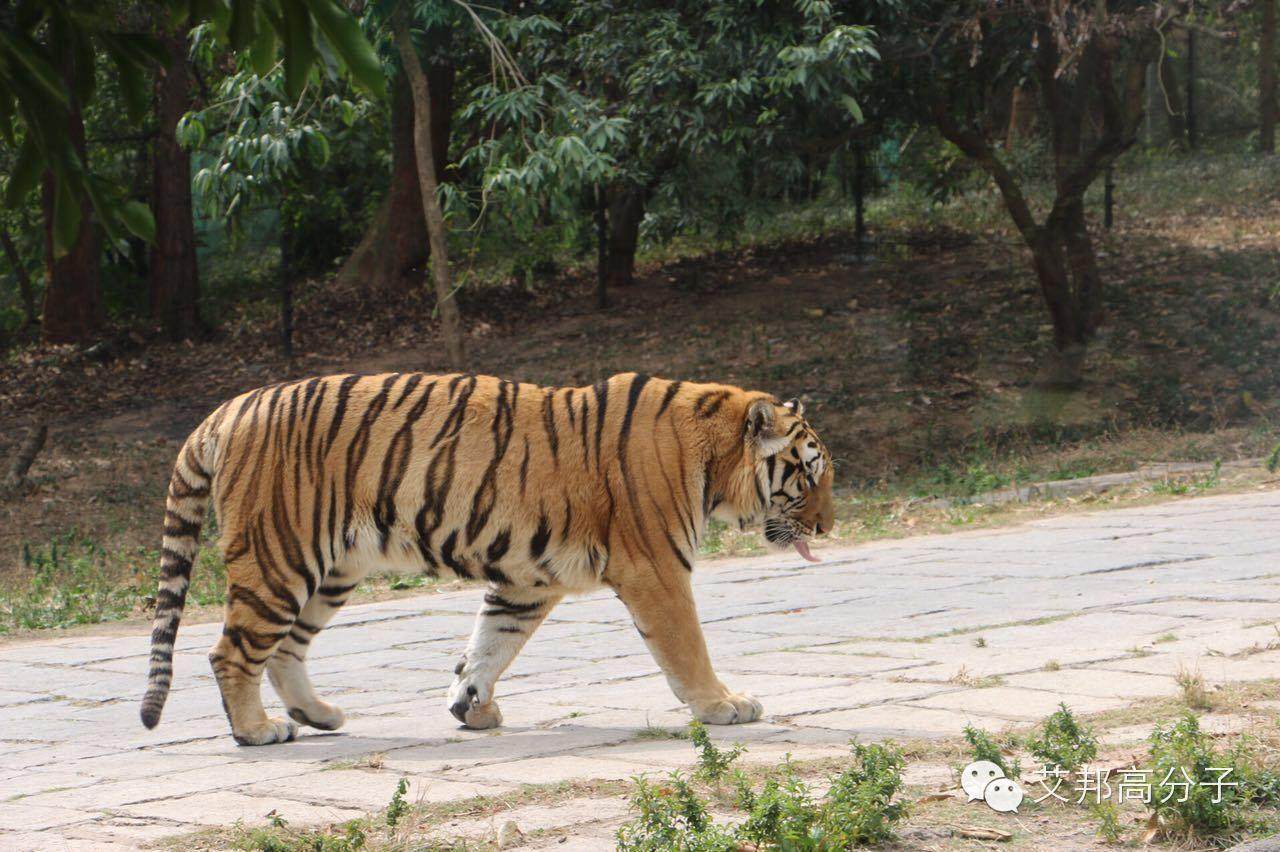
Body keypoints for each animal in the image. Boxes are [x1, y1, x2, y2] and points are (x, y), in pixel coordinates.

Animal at [140, 370, 834, 741]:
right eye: (807, 474)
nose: (828, 528)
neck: (714, 459)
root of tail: (228, 408)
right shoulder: (656, 571)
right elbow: (688, 648)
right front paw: (724, 706)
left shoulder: (528, 581)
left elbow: (491, 643)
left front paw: (470, 706)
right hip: (279, 559)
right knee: (231, 652)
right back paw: (257, 730)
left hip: (334, 568)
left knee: (286, 648)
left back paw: (320, 715)